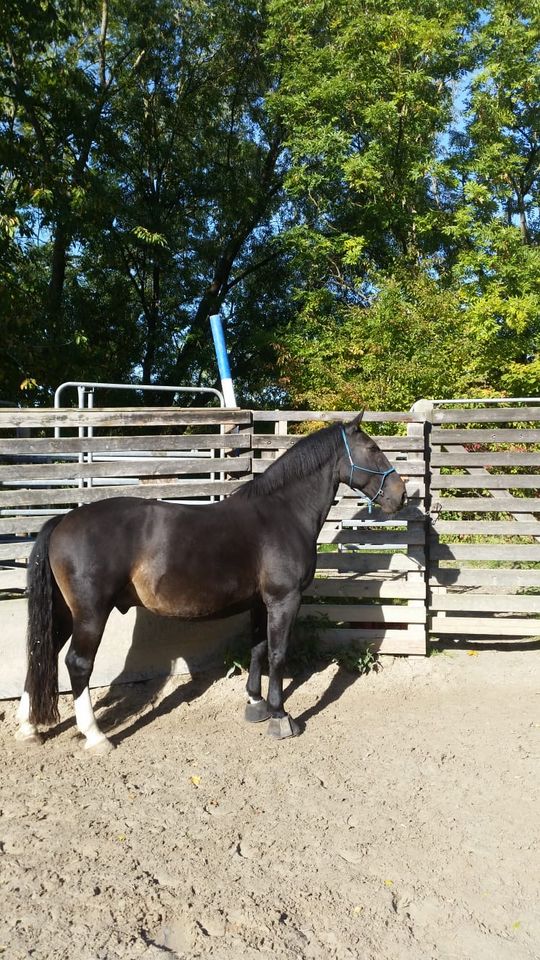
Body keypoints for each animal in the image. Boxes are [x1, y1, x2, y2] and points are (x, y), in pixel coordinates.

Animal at [15, 416, 404, 752]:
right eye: (372, 448)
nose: (400, 494)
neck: (283, 514)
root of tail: (63, 520)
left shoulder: (259, 603)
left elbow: (257, 649)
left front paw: (255, 703)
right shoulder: (284, 600)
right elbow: (278, 654)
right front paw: (280, 716)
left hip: (65, 613)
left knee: (41, 651)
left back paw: (28, 728)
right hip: (91, 615)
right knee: (77, 663)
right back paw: (96, 736)